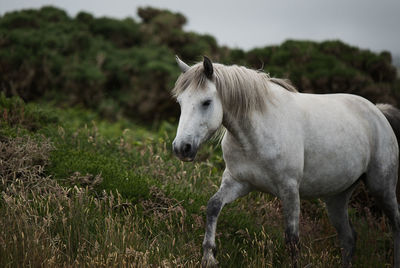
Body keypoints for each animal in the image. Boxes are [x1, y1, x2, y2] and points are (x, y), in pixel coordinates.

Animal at [171, 55, 400, 266]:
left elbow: (292, 240)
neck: (255, 134)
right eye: (180, 102)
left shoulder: (289, 189)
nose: (182, 148)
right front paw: (209, 257)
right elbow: (213, 206)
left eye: (206, 102)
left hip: (382, 187)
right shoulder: (238, 182)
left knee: (395, 223)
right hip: (337, 197)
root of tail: (378, 112)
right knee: (348, 238)